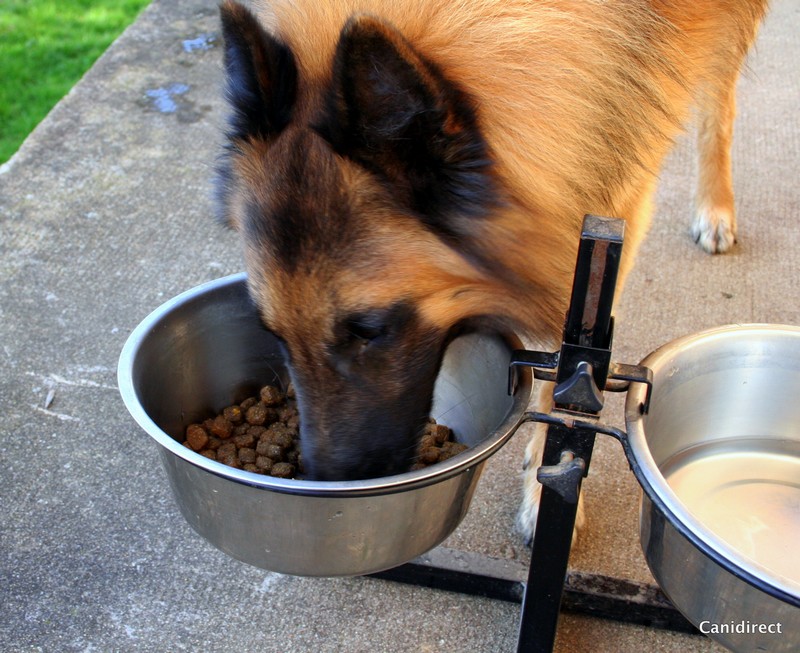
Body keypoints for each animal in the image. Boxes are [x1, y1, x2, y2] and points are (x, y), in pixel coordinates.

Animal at [216, 0, 764, 540]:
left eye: (369, 330)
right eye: (274, 333)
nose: (322, 481)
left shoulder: (612, 191)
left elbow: (569, 356)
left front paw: (549, 486)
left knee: (721, 98)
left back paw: (715, 206)